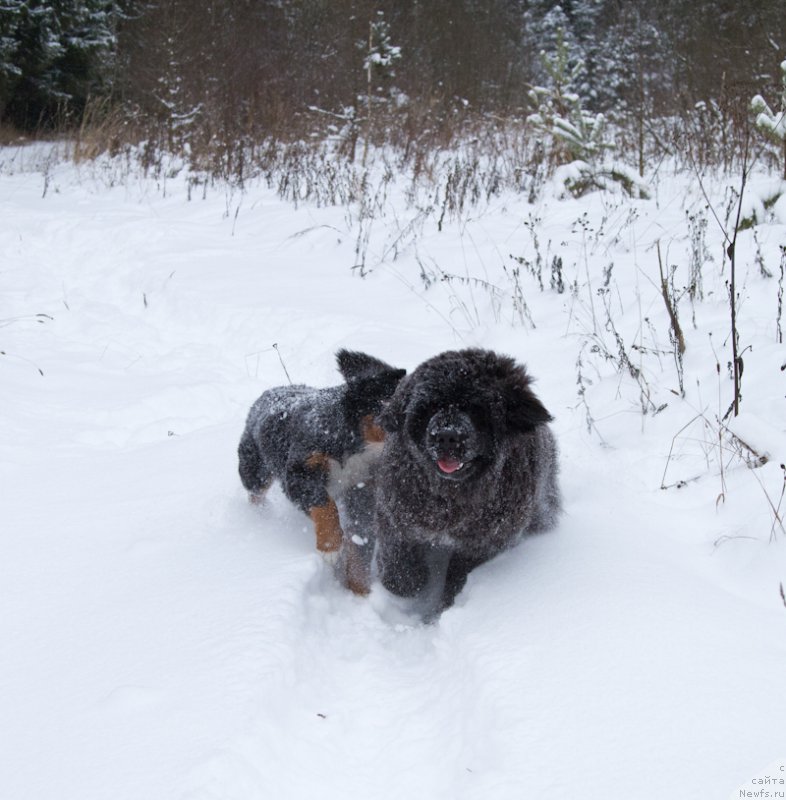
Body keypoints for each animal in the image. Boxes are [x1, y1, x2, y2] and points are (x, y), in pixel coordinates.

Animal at [237, 350, 404, 592]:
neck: (357, 445)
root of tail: (270, 392)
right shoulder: (300, 471)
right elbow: (325, 505)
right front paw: (330, 548)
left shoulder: (363, 487)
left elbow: (359, 542)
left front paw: (359, 591)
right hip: (255, 470)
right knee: (255, 493)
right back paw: (259, 515)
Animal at [372, 346, 556, 616]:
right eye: (430, 407)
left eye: (476, 409)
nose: (447, 436)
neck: (451, 498)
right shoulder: (396, 516)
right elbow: (399, 568)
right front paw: (411, 583)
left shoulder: (485, 543)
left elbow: (458, 576)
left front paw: (445, 605)